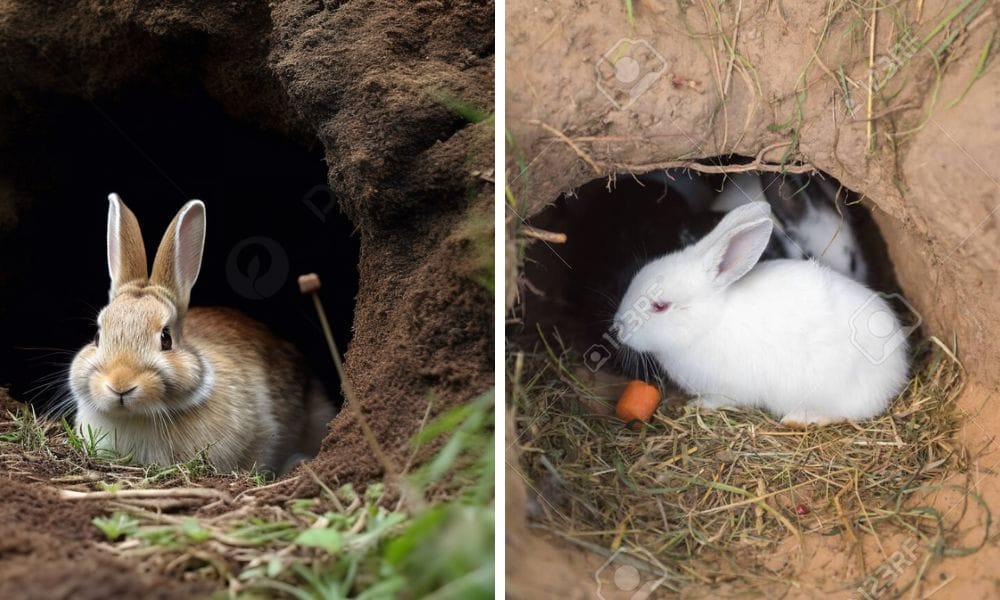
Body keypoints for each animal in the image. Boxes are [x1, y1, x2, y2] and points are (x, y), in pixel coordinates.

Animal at [612, 201, 910, 425]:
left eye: (660, 306)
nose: (618, 329)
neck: (708, 323)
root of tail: (897, 369)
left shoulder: (727, 389)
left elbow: (719, 400)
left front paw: (699, 404)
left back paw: (801, 418)